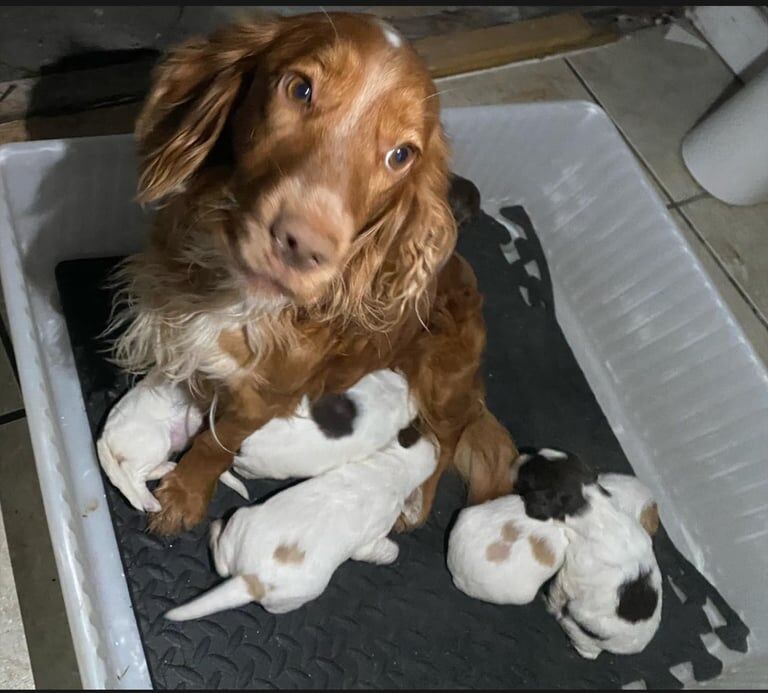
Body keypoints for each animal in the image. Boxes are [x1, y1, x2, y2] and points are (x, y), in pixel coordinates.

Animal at [164, 424, 436, 620]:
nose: (430, 430)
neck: (396, 466)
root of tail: (253, 579)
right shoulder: (370, 541)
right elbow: (381, 550)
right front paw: (393, 552)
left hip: (240, 520)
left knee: (221, 564)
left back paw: (215, 529)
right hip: (299, 595)